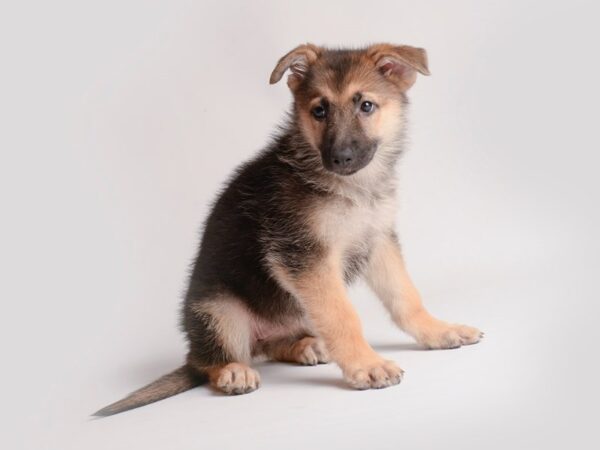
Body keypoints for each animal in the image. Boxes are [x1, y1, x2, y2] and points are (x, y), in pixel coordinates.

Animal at [96, 44, 486, 416]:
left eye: (367, 106)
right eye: (319, 111)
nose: (340, 158)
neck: (352, 188)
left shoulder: (378, 241)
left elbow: (405, 295)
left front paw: (438, 331)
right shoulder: (304, 256)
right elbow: (342, 315)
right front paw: (366, 364)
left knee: (275, 345)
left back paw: (306, 346)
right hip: (219, 310)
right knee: (210, 361)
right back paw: (232, 371)